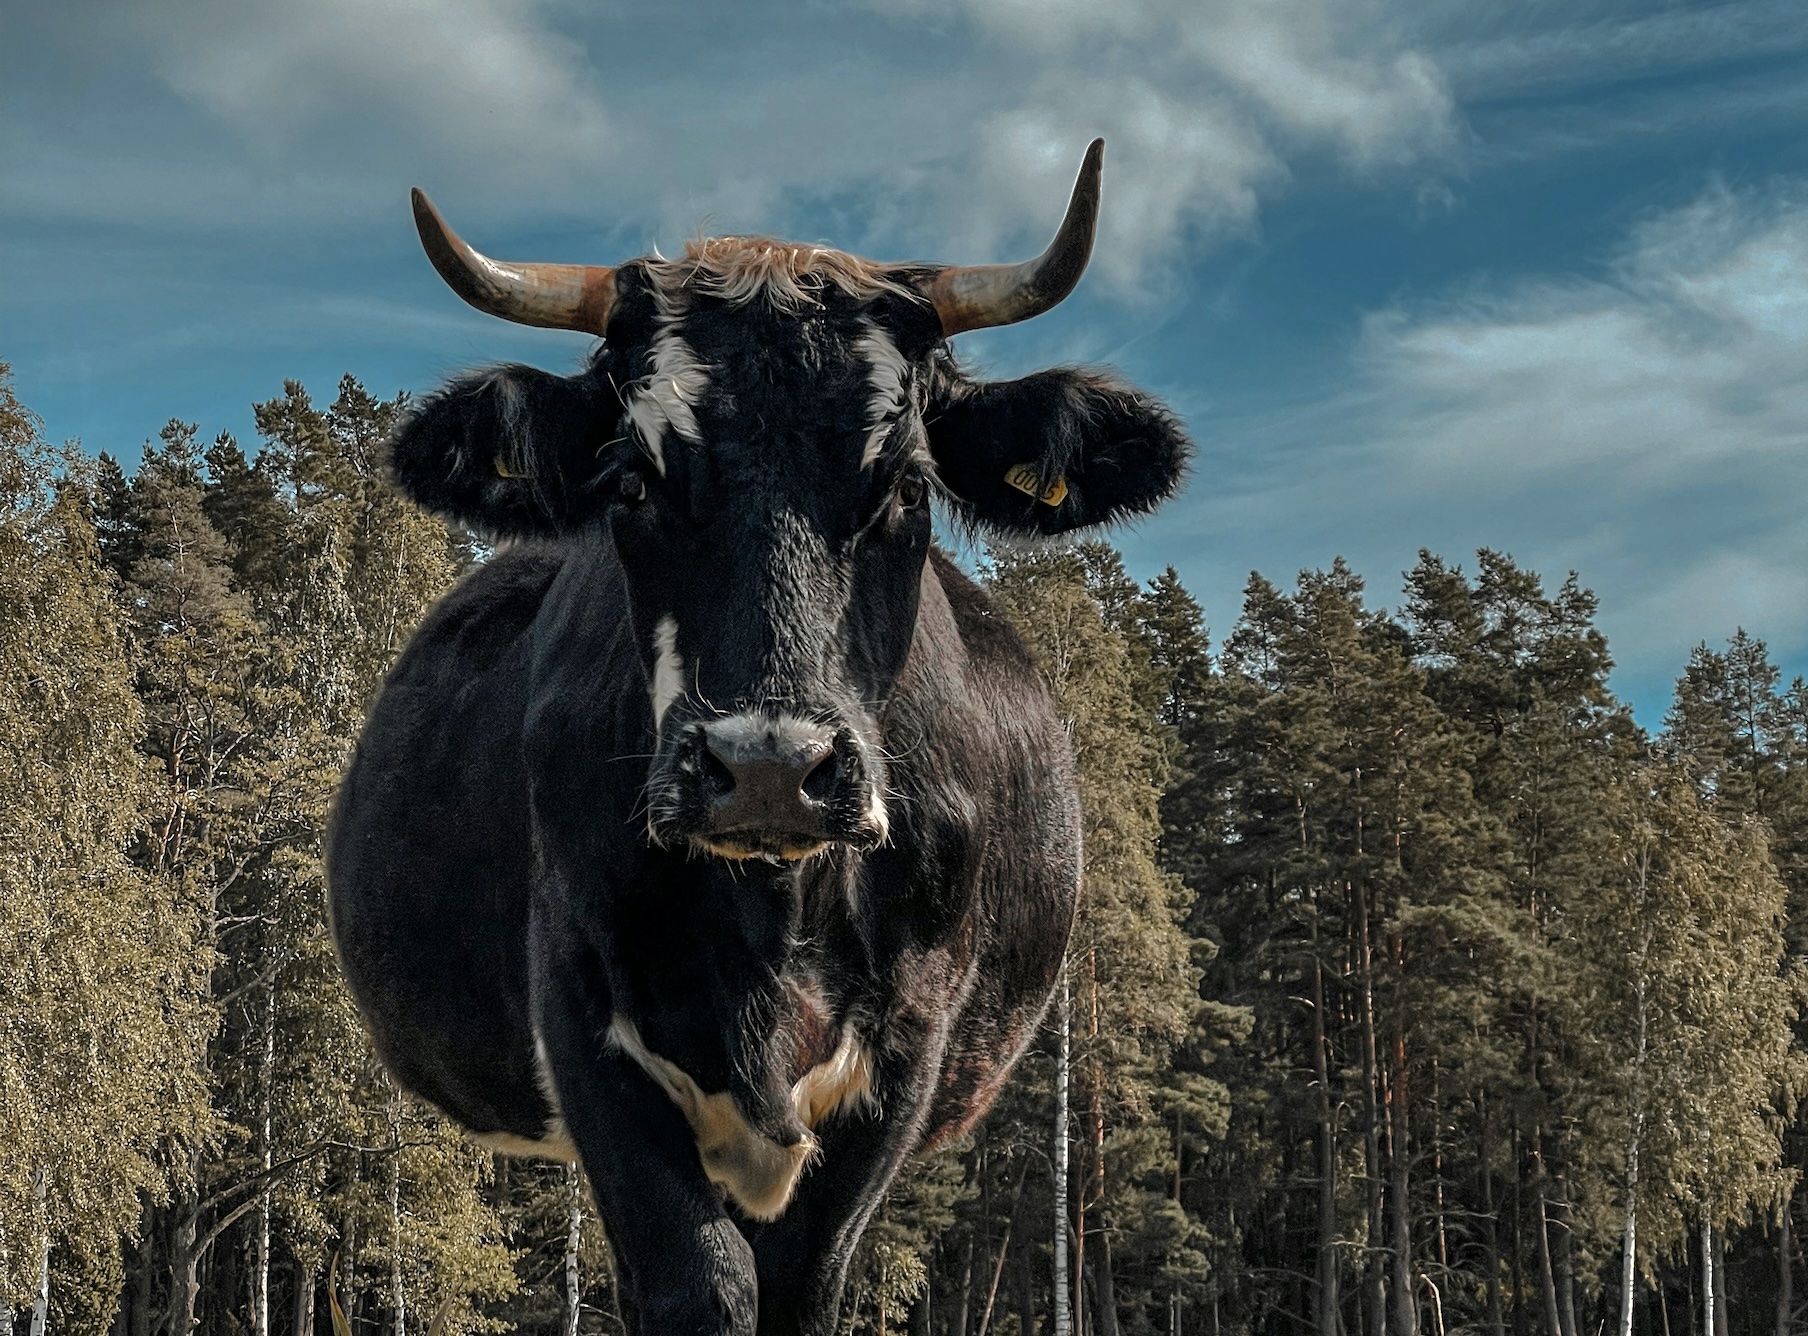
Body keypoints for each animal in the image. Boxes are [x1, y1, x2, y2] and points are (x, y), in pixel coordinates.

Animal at [326, 139, 1190, 1336]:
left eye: (907, 481)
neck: (772, 919)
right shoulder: (582, 1016)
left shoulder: (911, 1041)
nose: (769, 770)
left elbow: (797, 1284)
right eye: (630, 478)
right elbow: (699, 1282)